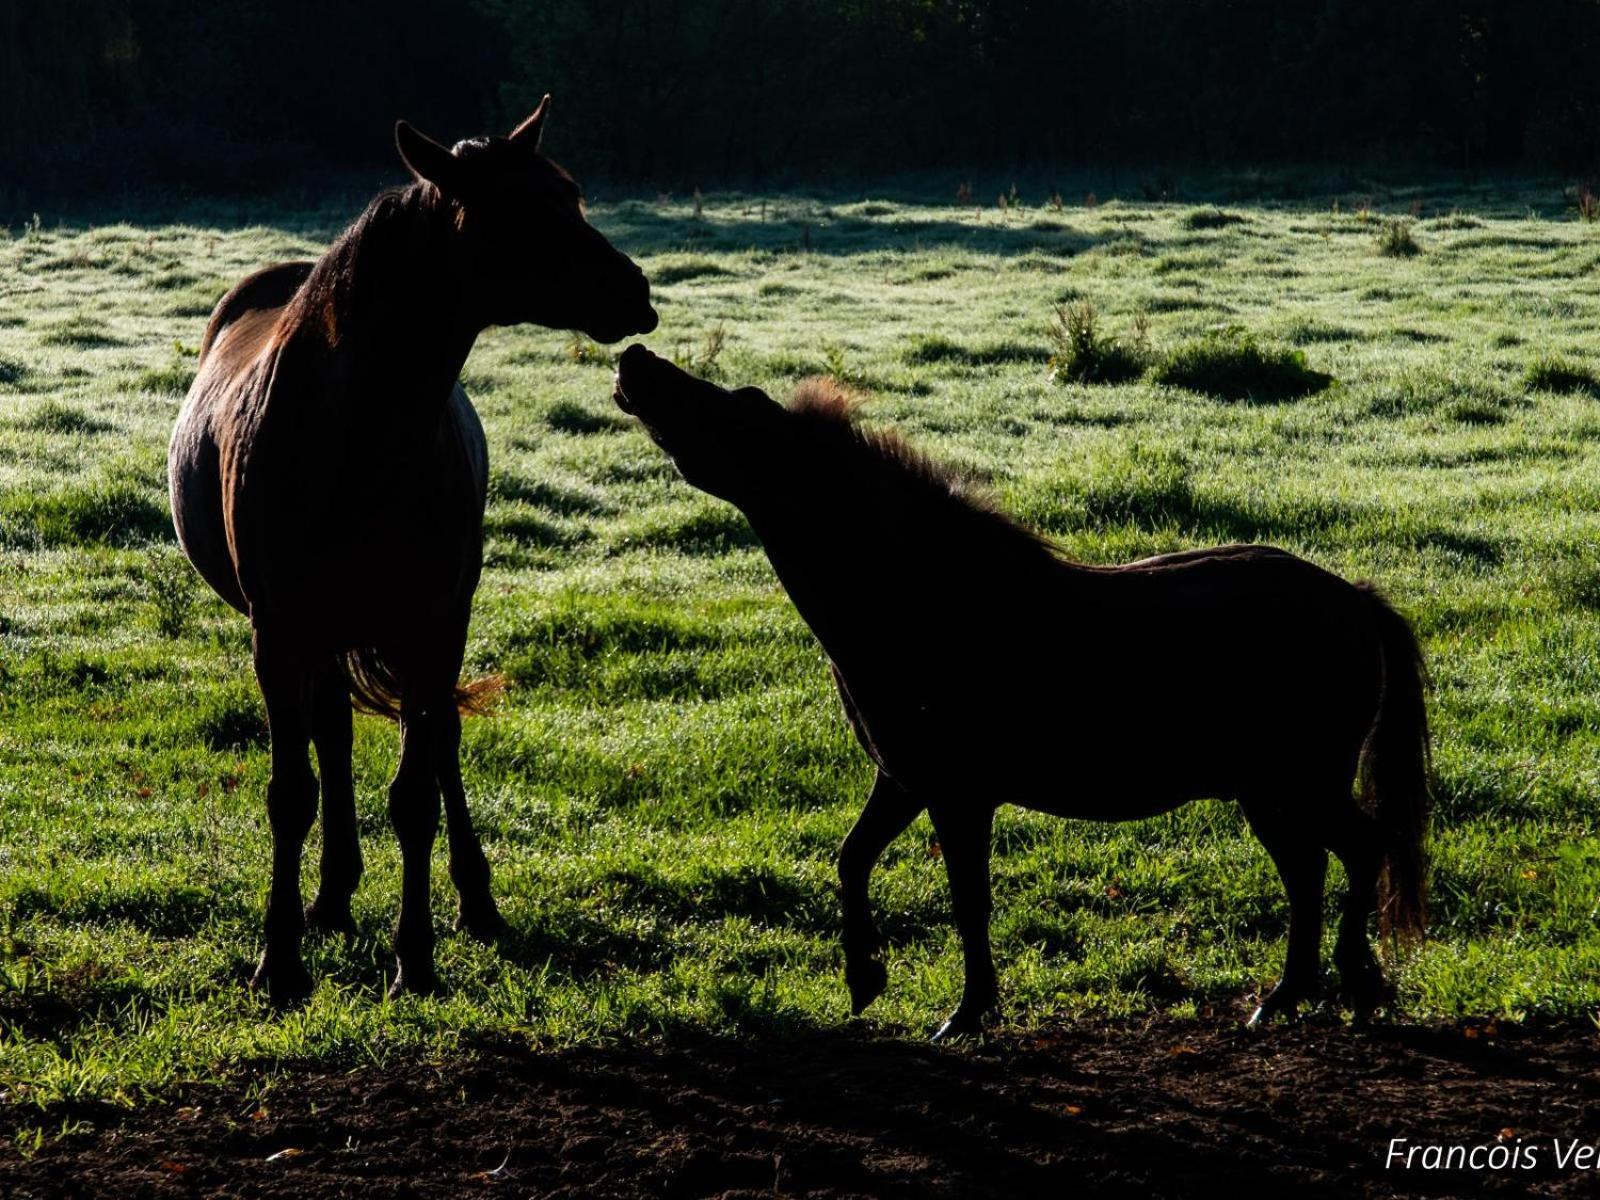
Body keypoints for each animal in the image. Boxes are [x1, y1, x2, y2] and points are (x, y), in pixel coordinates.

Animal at [168, 98, 656, 1004]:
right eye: (527, 208)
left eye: (569, 195)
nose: (635, 293)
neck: (354, 434)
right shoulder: (277, 630)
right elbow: (292, 791)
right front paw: (279, 960)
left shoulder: (431, 623)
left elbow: (416, 793)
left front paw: (417, 958)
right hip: (320, 632)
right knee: (331, 734)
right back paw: (329, 898)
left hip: (424, 626)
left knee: (439, 746)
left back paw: (475, 902)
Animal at [604, 347, 1433, 1043]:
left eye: (736, 409)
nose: (633, 358)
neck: (929, 602)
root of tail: (1355, 600)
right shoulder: (903, 781)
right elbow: (852, 861)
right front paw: (865, 977)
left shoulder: (958, 795)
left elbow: (969, 902)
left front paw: (967, 1014)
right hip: (1268, 792)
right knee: (1311, 870)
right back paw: (1287, 997)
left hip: (1298, 783)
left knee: (1360, 852)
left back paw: (1355, 987)